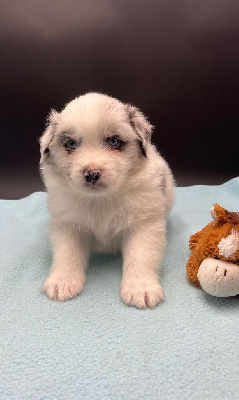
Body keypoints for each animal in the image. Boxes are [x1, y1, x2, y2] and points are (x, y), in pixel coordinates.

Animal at [38, 92, 174, 308]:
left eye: (114, 141)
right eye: (71, 144)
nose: (92, 173)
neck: (100, 200)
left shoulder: (144, 224)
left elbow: (141, 255)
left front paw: (140, 288)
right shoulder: (67, 224)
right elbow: (67, 253)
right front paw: (62, 282)